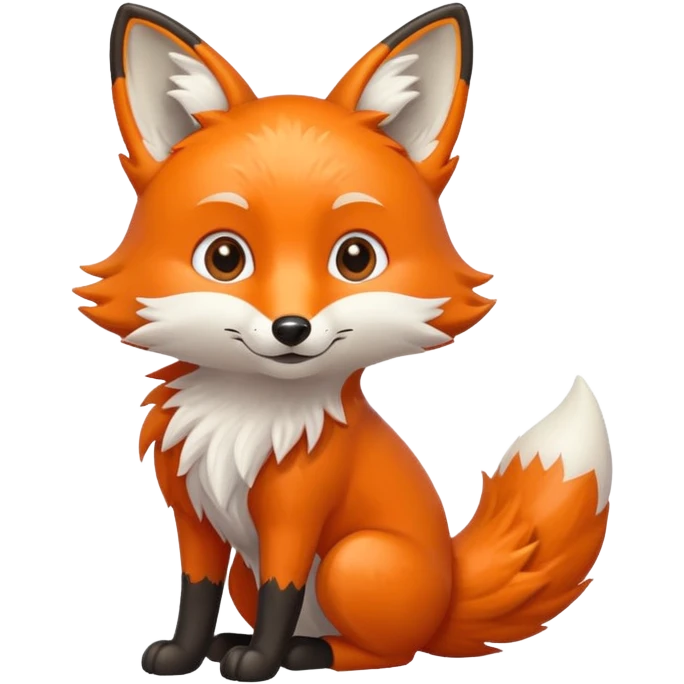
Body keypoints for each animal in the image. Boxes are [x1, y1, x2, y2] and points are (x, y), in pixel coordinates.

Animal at [80, 2, 615, 680]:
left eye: (355, 257)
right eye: (224, 257)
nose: (291, 329)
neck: (247, 417)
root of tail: (448, 594)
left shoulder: (294, 514)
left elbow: (281, 594)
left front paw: (259, 662)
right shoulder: (193, 513)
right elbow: (195, 592)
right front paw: (183, 654)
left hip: (354, 562)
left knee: (387, 650)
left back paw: (309, 652)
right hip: (259, 574)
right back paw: (238, 643)